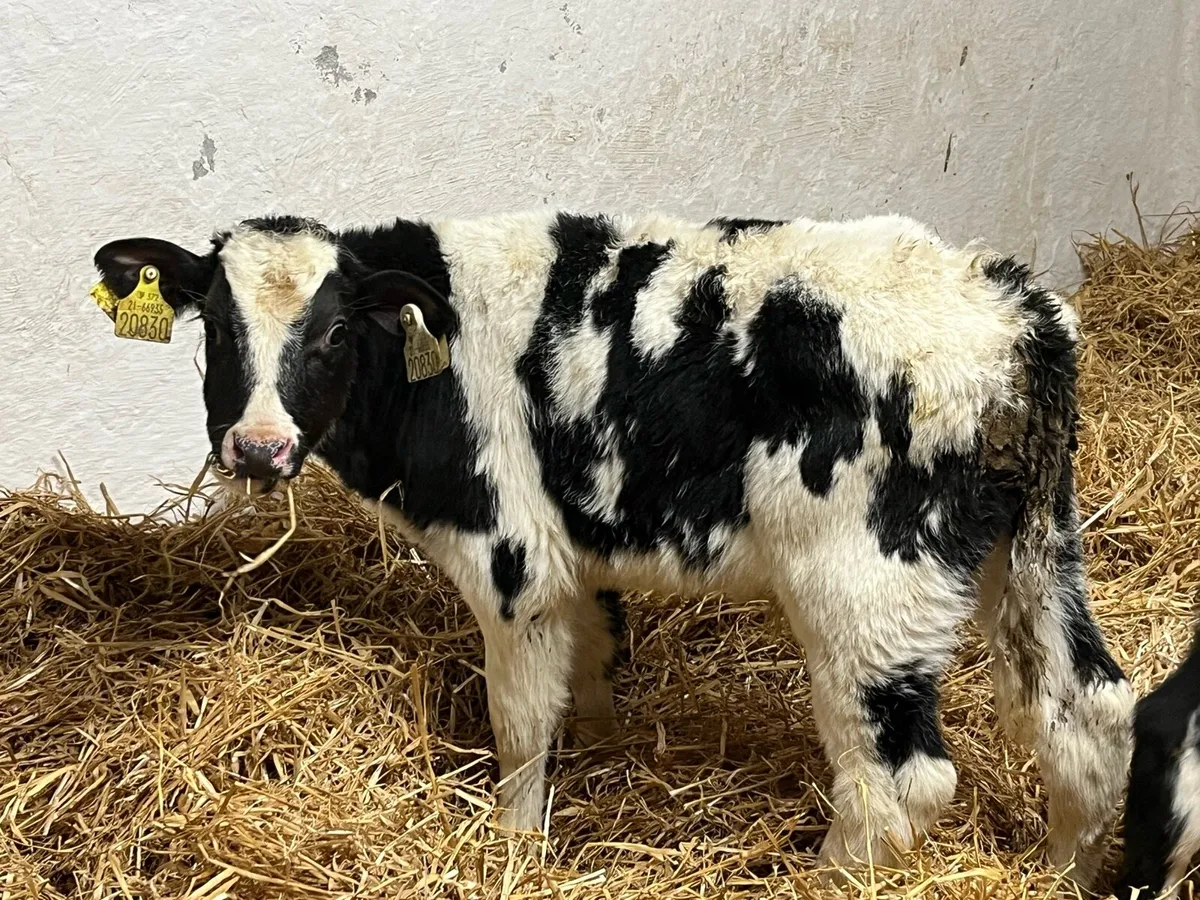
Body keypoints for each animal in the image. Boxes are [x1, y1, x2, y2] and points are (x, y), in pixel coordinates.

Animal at [93, 211, 1134, 886]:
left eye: (337, 329)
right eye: (216, 325)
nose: (257, 448)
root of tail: (1015, 312)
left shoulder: (511, 559)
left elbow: (519, 725)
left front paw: (514, 847)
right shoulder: (574, 556)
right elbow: (589, 670)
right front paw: (598, 760)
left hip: (868, 592)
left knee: (899, 784)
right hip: (1033, 554)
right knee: (1083, 712)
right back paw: (1064, 870)